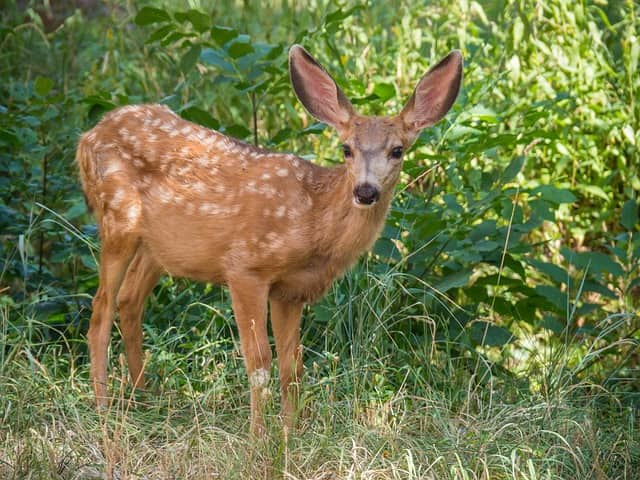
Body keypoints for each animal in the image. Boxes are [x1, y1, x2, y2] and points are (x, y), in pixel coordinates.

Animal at [77, 45, 462, 436]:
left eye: (397, 150)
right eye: (346, 149)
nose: (365, 191)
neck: (314, 222)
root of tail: (88, 136)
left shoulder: (291, 291)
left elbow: (292, 366)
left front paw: (291, 434)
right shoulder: (246, 267)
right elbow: (260, 362)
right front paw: (258, 437)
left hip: (159, 247)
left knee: (129, 300)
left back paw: (144, 397)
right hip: (117, 219)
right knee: (101, 309)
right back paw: (103, 409)